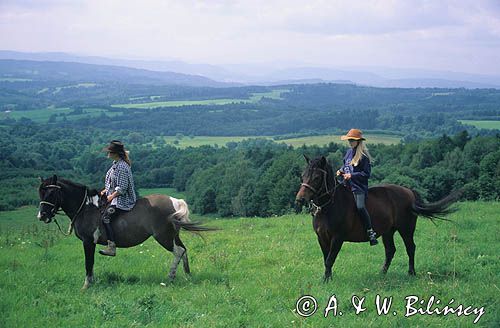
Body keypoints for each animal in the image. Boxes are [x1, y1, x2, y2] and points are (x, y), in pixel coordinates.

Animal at [37, 176, 213, 288]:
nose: (42, 215)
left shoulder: (88, 242)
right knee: (183, 250)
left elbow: (89, 263)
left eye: (51, 193)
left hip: (164, 237)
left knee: (178, 252)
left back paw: (170, 277)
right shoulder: (90, 243)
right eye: (41, 192)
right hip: (172, 236)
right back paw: (187, 275)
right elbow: (91, 263)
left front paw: (86, 285)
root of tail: (175, 201)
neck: (86, 208)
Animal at [292, 156, 460, 282]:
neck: (329, 206)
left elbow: (329, 259)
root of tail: (409, 191)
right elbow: (326, 258)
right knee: (390, 250)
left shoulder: (337, 238)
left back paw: (411, 273)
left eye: (316, 177)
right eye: (302, 175)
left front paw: (326, 280)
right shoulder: (322, 237)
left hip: (406, 229)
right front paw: (328, 278)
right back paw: (382, 273)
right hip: (388, 231)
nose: (300, 199)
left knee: (410, 248)